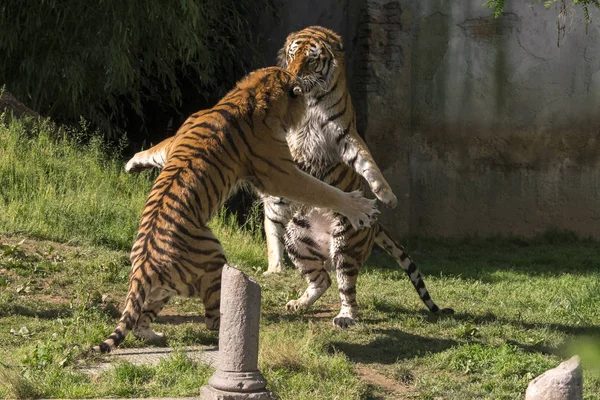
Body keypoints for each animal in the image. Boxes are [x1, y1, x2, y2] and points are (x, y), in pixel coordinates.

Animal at [92, 66, 380, 354]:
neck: (247, 94)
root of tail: (142, 267)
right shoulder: (279, 173)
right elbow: (322, 190)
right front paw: (360, 206)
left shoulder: (177, 138)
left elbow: (156, 149)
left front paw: (132, 164)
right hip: (215, 261)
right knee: (212, 318)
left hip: (161, 290)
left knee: (140, 320)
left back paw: (154, 335)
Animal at [123, 26, 450, 330]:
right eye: (292, 55)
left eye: (311, 59)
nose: (294, 77)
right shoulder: (278, 166)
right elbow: (158, 147)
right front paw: (132, 163)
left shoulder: (339, 137)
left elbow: (364, 164)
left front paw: (384, 196)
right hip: (297, 240)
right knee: (319, 277)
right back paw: (290, 294)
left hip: (345, 245)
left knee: (346, 287)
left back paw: (344, 315)